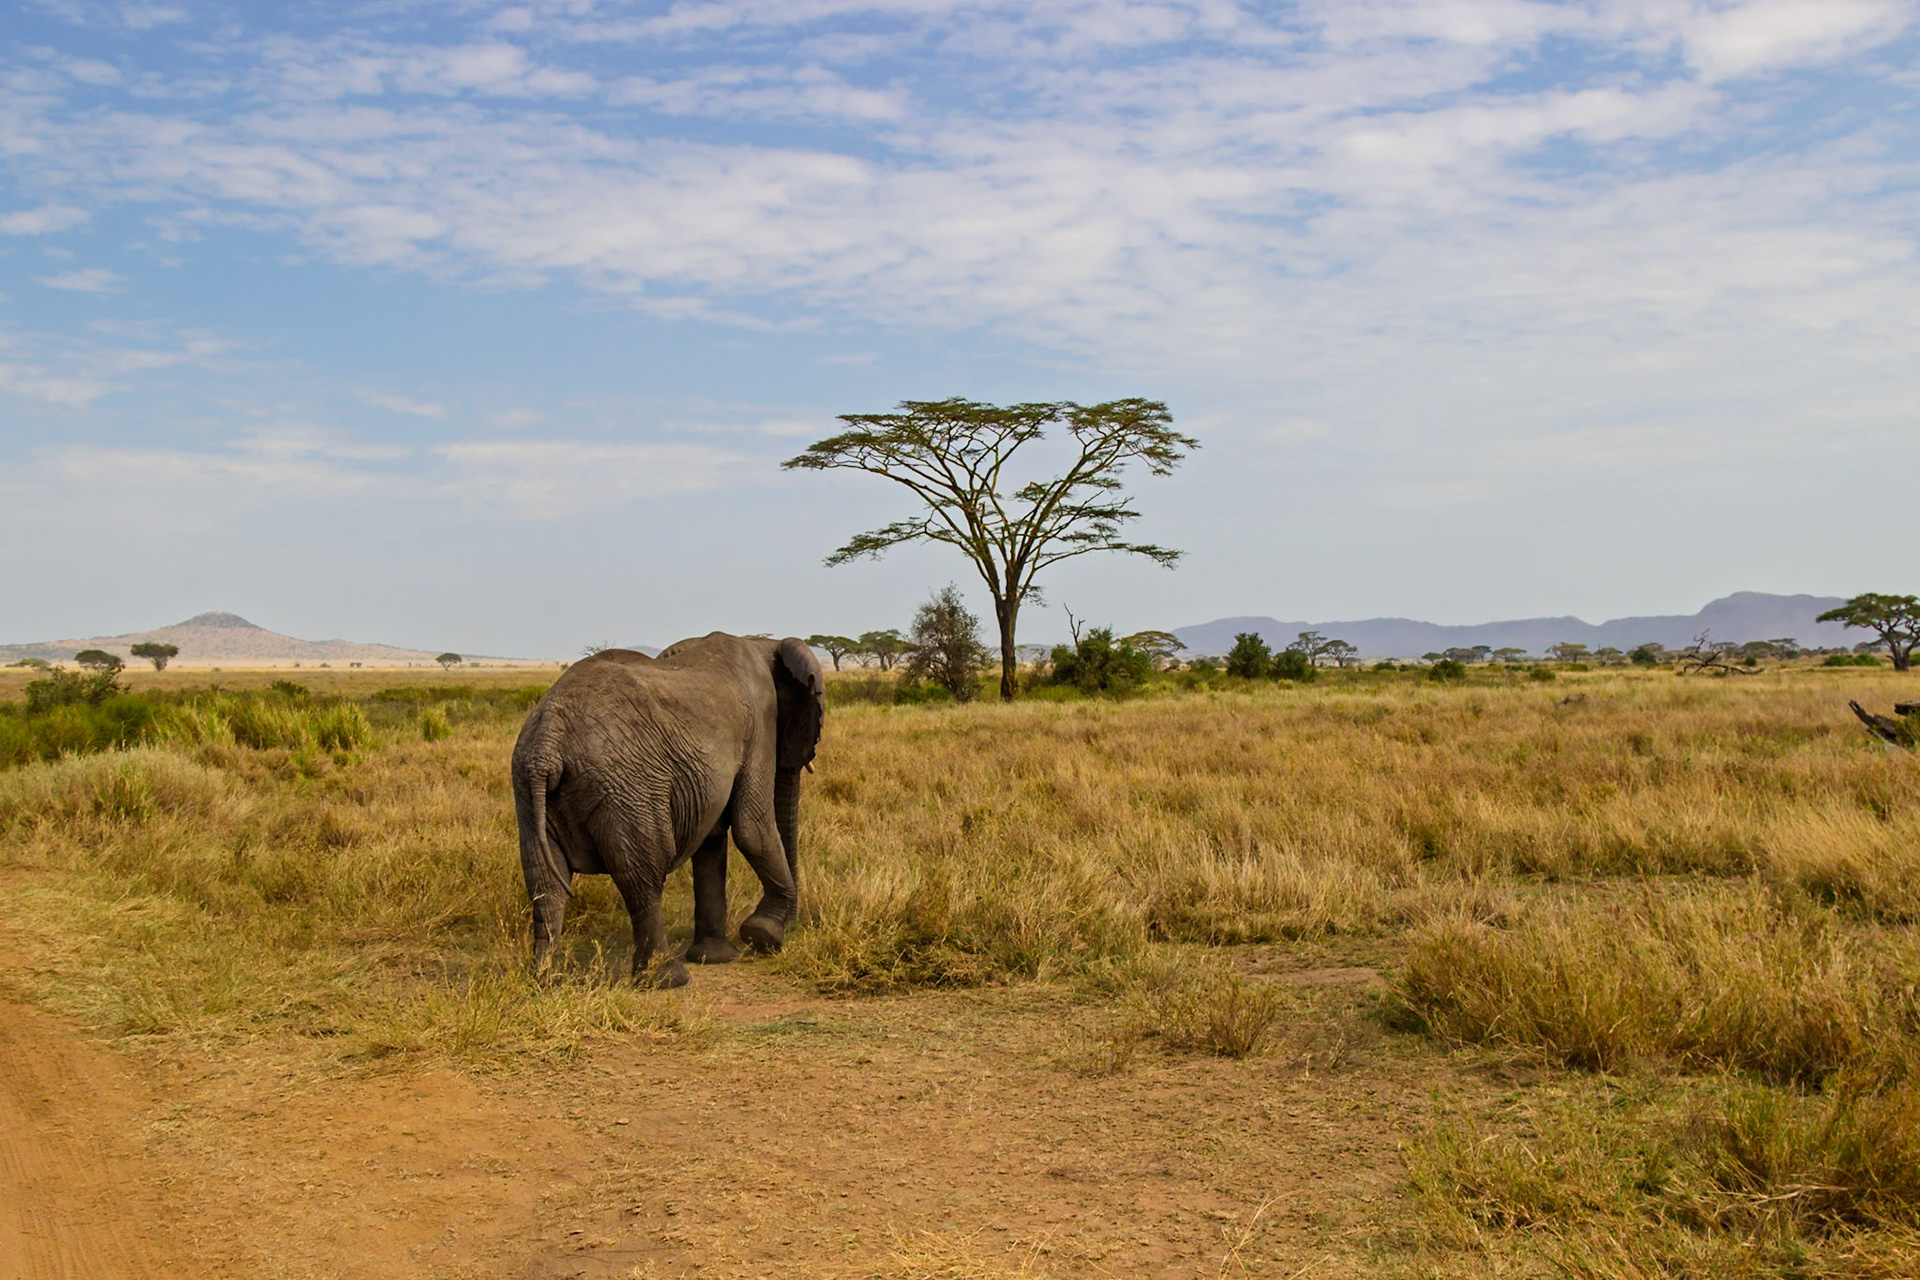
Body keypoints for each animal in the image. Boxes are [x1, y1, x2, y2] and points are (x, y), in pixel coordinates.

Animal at [510, 632, 825, 987]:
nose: (792, 929)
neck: (760, 642)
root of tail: (548, 738)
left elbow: (712, 842)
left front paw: (716, 957)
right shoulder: (758, 726)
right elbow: (752, 827)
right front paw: (763, 935)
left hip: (528, 786)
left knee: (545, 882)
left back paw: (547, 979)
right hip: (628, 788)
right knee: (643, 877)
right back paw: (668, 978)